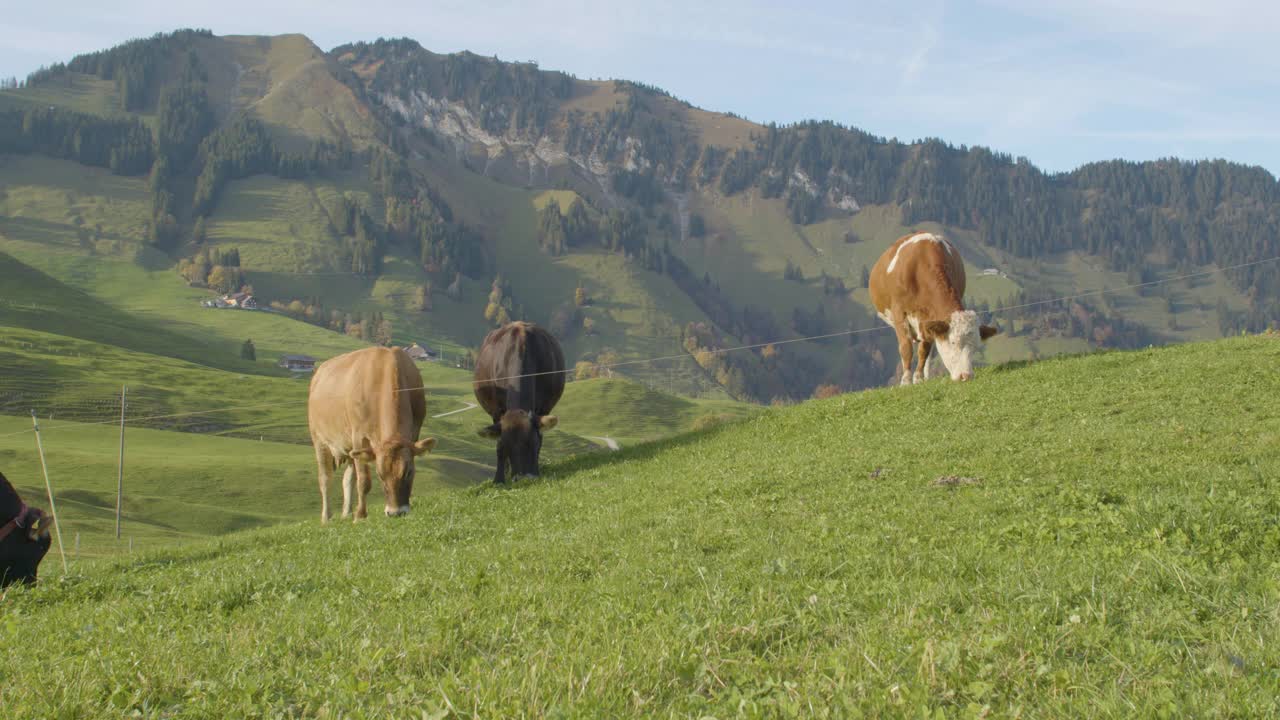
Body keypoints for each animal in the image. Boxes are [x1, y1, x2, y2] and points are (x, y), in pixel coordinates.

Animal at [307, 345, 437, 517]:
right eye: (380, 475)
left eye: (408, 472)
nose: (396, 512)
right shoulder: (359, 437)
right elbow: (363, 481)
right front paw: (360, 515)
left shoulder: (414, 432)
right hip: (319, 440)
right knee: (325, 478)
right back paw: (327, 517)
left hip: (349, 447)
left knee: (348, 478)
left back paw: (346, 514)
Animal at [473, 320, 563, 481]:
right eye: (507, 447)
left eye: (533, 443)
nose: (524, 477)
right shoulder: (497, 413)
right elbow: (498, 445)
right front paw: (498, 479)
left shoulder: (542, 409)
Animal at [870, 233, 998, 384]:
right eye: (953, 342)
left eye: (976, 346)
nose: (966, 376)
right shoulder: (899, 312)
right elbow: (906, 347)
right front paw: (906, 380)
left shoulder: (929, 318)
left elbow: (924, 350)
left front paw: (918, 378)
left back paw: (927, 376)